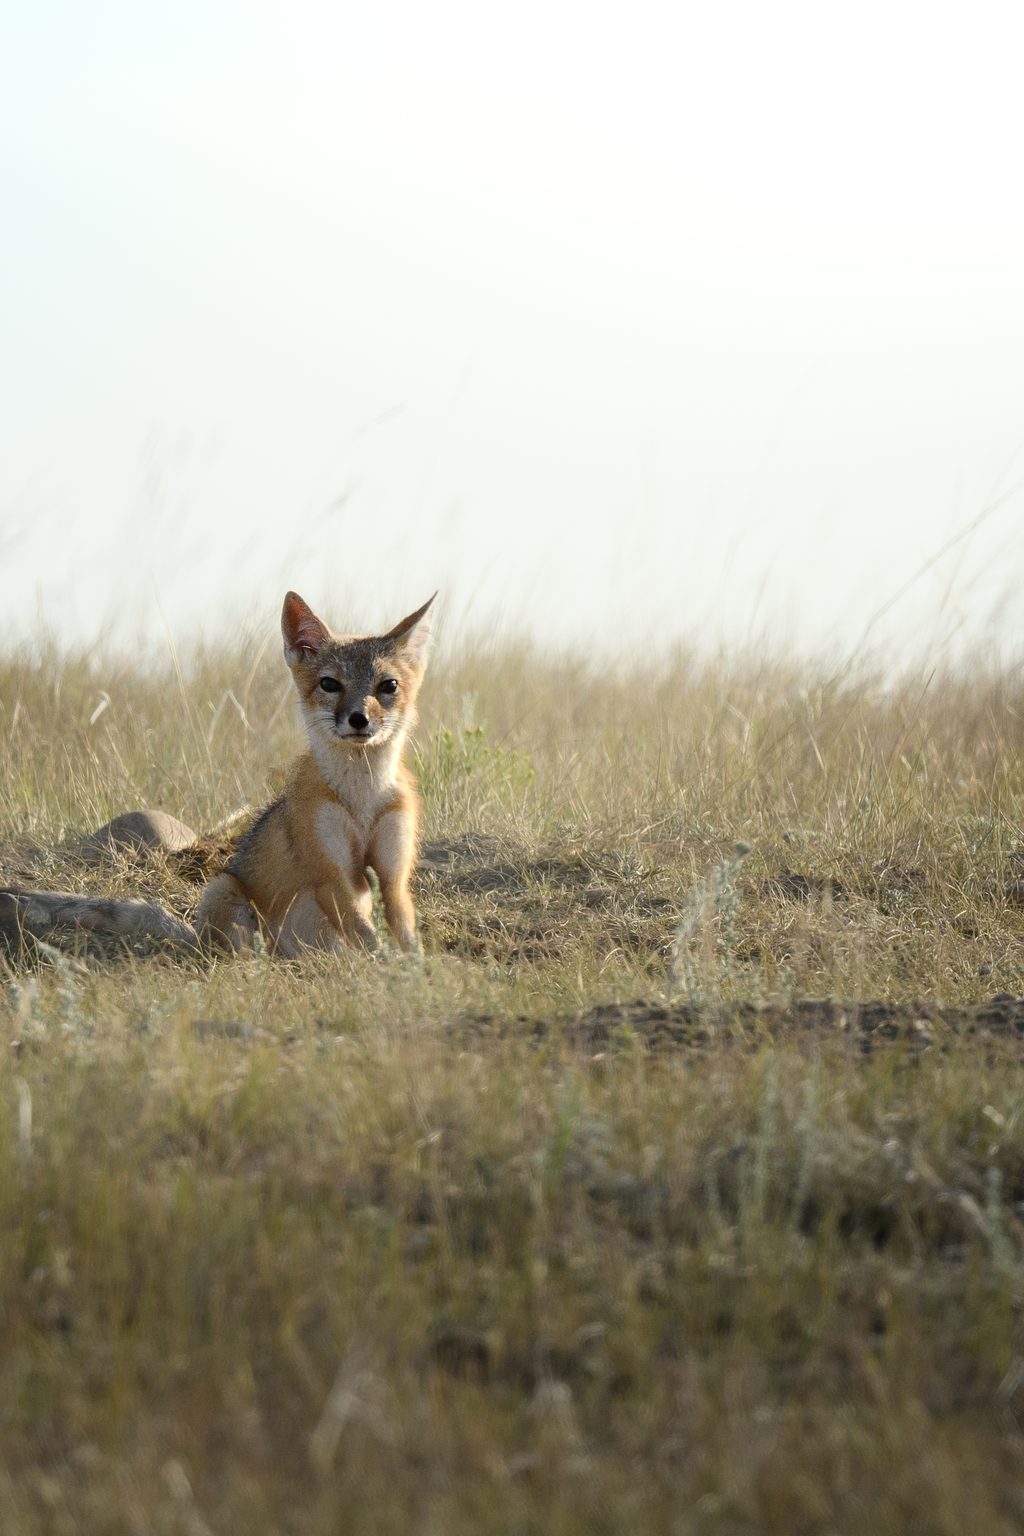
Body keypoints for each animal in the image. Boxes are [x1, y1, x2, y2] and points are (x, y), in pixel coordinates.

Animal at [193, 590, 435, 958]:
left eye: (389, 685)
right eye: (330, 684)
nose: (359, 718)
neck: (362, 798)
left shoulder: (393, 877)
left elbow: (408, 940)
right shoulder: (331, 877)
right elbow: (370, 939)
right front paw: (386, 966)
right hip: (225, 892)